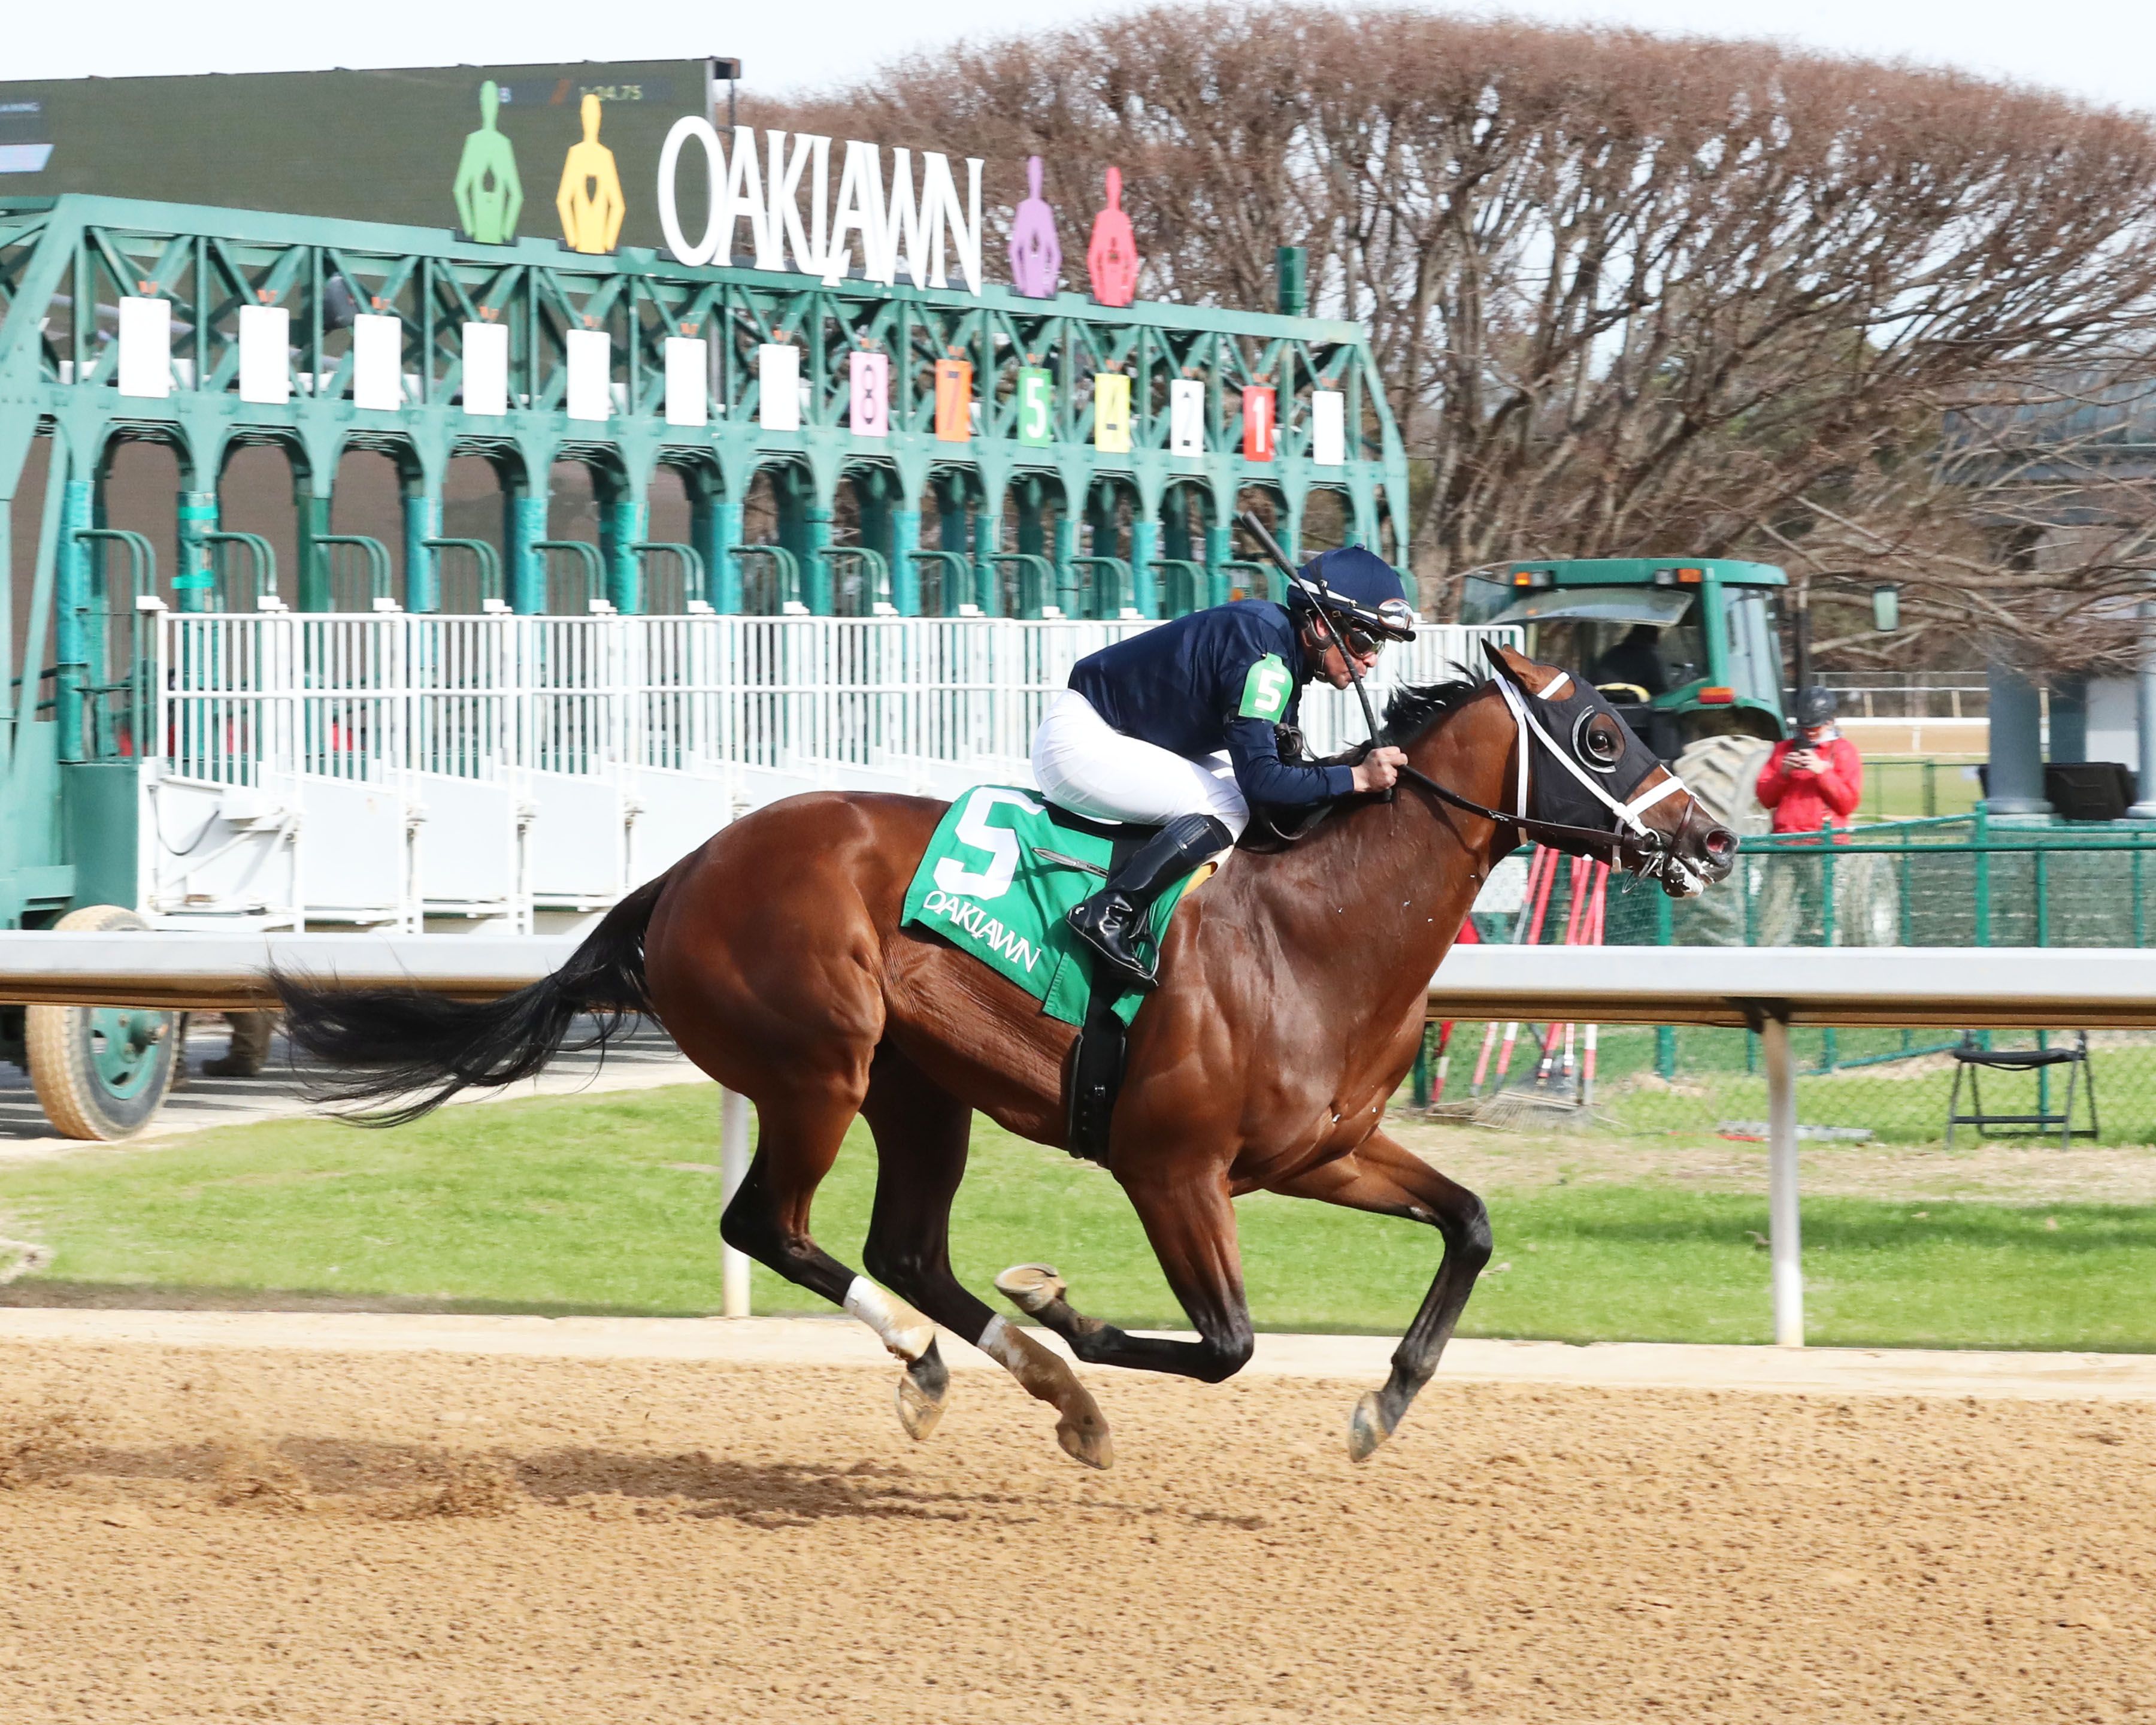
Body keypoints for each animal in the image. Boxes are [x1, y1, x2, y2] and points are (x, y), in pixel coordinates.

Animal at [282, 647, 1733, 1466]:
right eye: (1604, 738)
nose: (1713, 841)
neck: (1309, 932)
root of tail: (685, 870)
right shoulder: (1170, 1169)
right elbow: (1226, 1345)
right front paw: (1060, 1304)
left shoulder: (1323, 1151)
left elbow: (1472, 1223)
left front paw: (1383, 1405)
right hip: (819, 1066)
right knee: (772, 1226)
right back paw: (945, 1366)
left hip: (922, 1095)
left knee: (904, 1248)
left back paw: (1040, 1390)